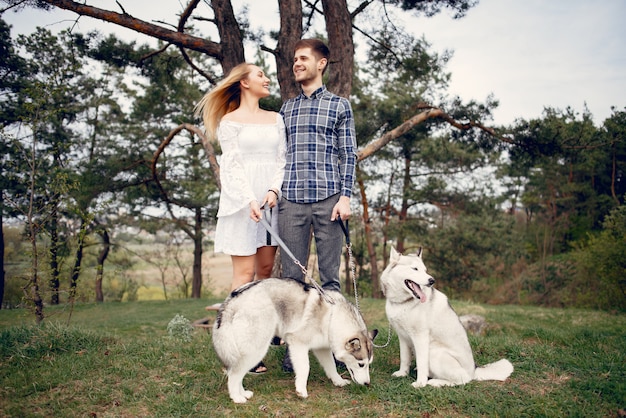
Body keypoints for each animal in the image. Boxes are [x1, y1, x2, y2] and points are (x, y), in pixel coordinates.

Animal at [212, 278, 372, 402]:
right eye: (361, 364)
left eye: (368, 364)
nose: (367, 384)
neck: (332, 317)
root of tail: (233, 299)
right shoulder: (297, 343)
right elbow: (305, 368)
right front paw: (301, 390)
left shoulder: (322, 349)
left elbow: (331, 367)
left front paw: (339, 382)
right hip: (256, 350)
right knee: (234, 374)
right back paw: (237, 398)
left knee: (236, 373)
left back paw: (243, 393)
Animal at [380, 247, 512, 386]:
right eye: (415, 269)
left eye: (425, 270)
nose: (432, 280)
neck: (403, 302)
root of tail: (473, 371)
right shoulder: (403, 337)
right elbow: (404, 358)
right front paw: (402, 373)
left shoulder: (420, 337)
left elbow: (422, 363)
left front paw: (420, 383)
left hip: (434, 352)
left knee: (463, 380)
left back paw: (436, 382)